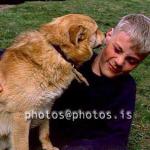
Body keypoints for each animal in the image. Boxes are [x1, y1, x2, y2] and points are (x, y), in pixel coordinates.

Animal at [0, 13, 103, 149]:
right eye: (96, 31)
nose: (107, 34)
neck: (58, 50)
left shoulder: (46, 106)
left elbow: (45, 133)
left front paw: (48, 147)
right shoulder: (20, 117)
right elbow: (23, 145)